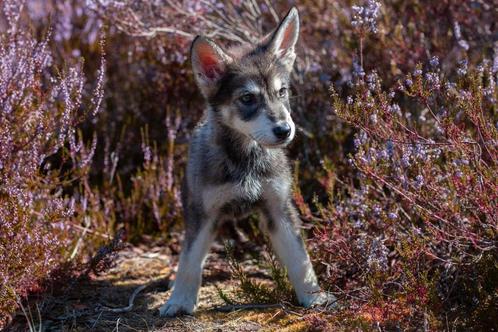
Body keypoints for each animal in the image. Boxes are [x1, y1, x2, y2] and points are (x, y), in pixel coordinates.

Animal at [160, 6, 332, 316]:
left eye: (282, 92)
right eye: (248, 98)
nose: (284, 130)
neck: (245, 160)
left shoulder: (279, 209)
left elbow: (301, 261)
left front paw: (314, 296)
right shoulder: (203, 214)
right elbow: (189, 262)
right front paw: (179, 301)